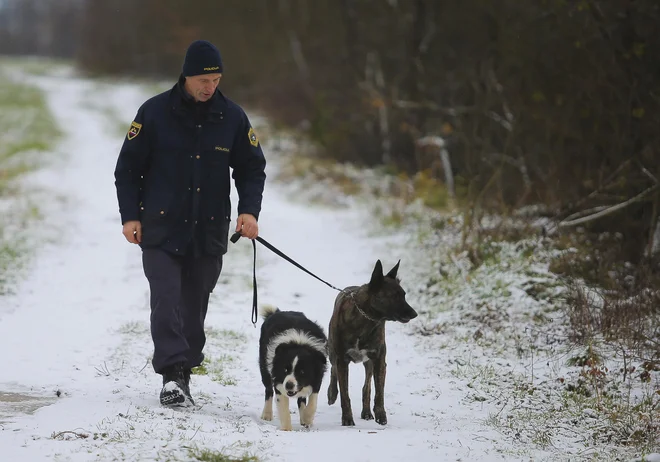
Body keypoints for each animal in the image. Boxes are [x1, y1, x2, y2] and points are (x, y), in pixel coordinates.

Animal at [260, 304, 328, 432]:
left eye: (302, 372)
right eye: (285, 369)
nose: (289, 385)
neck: (298, 343)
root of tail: (276, 312)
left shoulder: (317, 375)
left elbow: (313, 400)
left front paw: (307, 419)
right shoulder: (278, 378)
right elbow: (282, 404)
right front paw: (287, 429)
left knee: (301, 398)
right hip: (264, 366)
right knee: (268, 389)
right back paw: (266, 414)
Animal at [326, 260, 416, 426]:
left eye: (404, 295)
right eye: (394, 296)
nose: (415, 314)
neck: (366, 319)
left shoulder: (379, 360)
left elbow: (378, 391)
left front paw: (380, 414)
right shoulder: (342, 360)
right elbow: (344, 394)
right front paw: (347, 418)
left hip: (369, 362)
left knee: (366, 387)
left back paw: (367, 412)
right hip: (333, 353)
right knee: (333, 369)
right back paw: (332, 393)